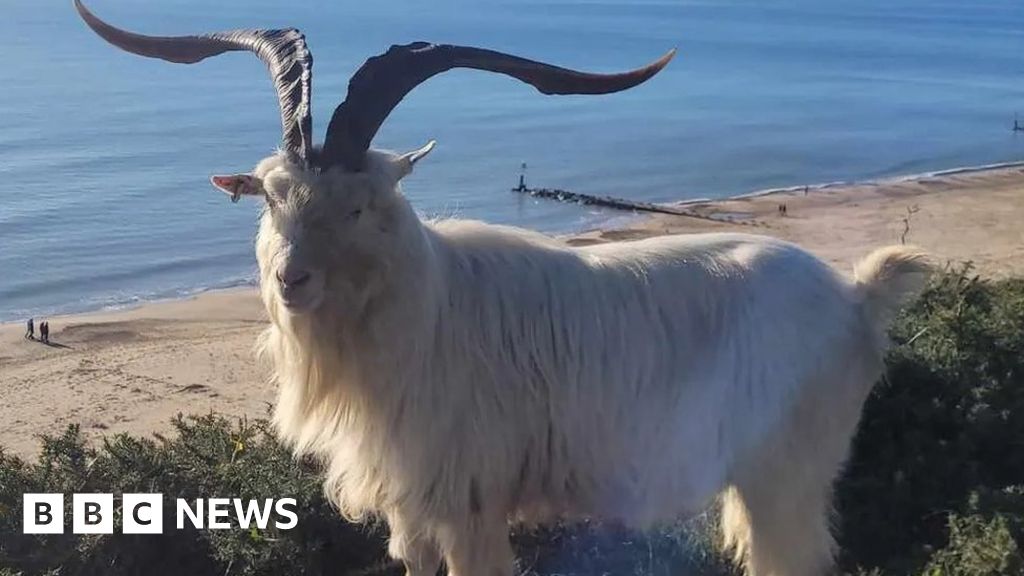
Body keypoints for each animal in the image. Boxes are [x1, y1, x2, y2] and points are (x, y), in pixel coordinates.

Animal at [77, 3, 929, 575]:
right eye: (272, 197)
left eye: (358, 205)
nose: (293, 279)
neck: (426, 314)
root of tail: (856, 296)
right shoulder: (413, 511)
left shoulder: (469, 507)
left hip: (786, 479)